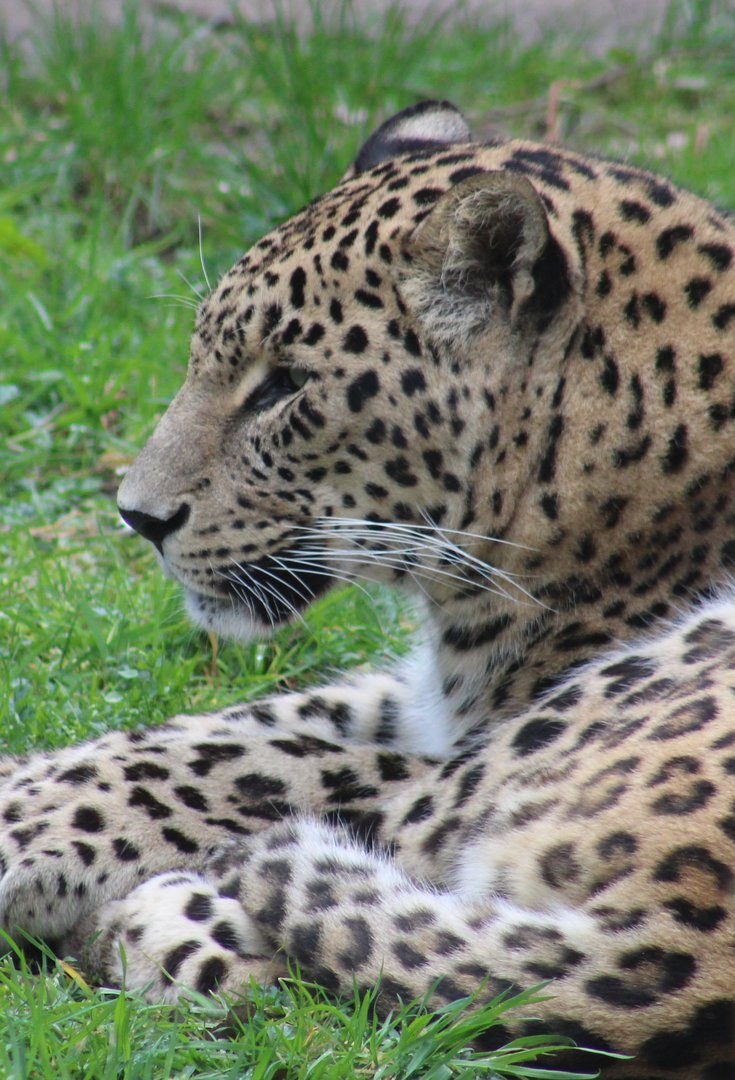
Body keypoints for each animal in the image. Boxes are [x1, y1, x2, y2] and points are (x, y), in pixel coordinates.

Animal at [2, 99, 735, 1077]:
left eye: (283, 385)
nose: (138, 517)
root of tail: (678, 954)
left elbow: (261, 764)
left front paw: (29, 828)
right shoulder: (425, 696)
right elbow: (221, 729)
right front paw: (23, 777)